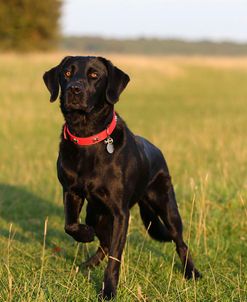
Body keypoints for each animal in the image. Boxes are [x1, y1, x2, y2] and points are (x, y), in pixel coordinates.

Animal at [43, 56, 201, 300]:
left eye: (94, 75)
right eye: (67, 73)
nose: (74, 90)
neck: (87, 136)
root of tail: (156, 150)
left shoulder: (120, 212)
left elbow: (115, 258)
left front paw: (108, 291)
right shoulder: (71, 192)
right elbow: (70, 225)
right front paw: (85, 235)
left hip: (167, 207)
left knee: (180, 242)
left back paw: (191, 272)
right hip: (95, 213)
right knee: (103, 242)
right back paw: (88, 264)